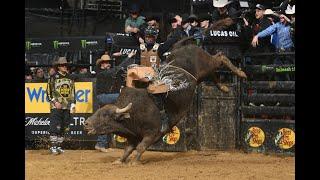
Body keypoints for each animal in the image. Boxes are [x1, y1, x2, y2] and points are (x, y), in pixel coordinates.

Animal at [83, 44, 248, 165]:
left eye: (105, 115)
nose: (86, 123)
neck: (134, 112)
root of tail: (189, 46)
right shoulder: (133, 135)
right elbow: (128, 149)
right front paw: (119, 161)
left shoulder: (152, 132)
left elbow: (141, 147)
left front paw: (134, 162)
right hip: (203, 74)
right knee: (213, 73)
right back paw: (224, 87)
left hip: (206, 64)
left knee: (220, 57)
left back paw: (241, 73)